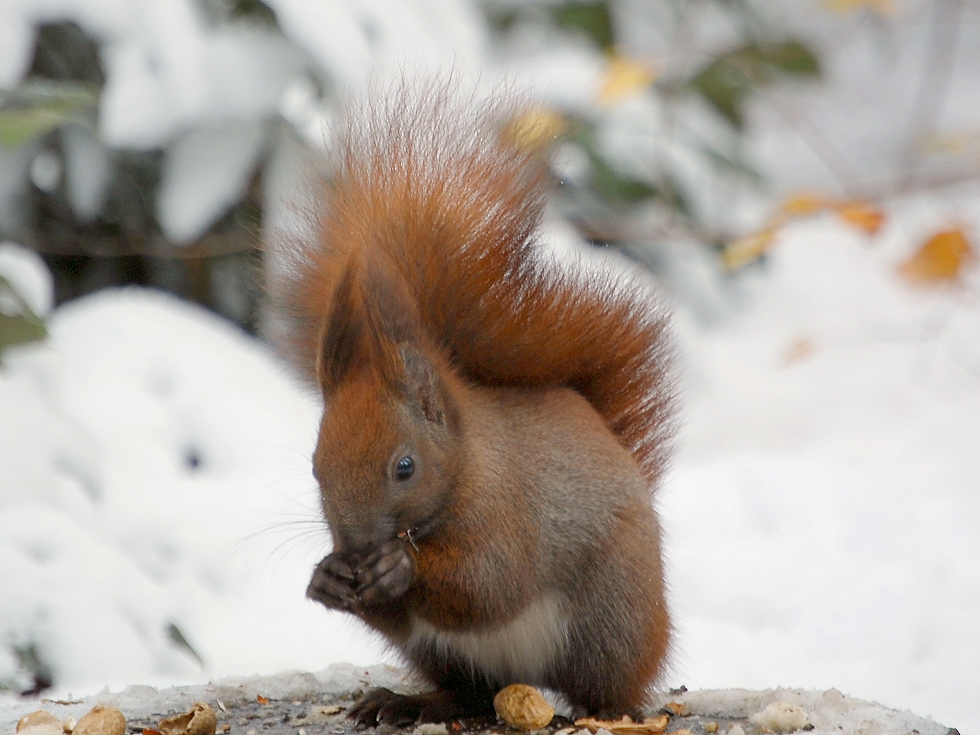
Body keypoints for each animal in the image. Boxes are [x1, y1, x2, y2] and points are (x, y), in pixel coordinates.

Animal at [276, 83, 672, 728]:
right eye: (315, 468)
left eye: (405, 467)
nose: (356, 546)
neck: (466, 463)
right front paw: (328, 578)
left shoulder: (506, 509)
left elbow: (489, 583)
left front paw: (398, 567)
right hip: (440, 652)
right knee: (469, 691)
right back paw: (408, 701)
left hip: (609, 620)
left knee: (608, 684)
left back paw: (603, 711)